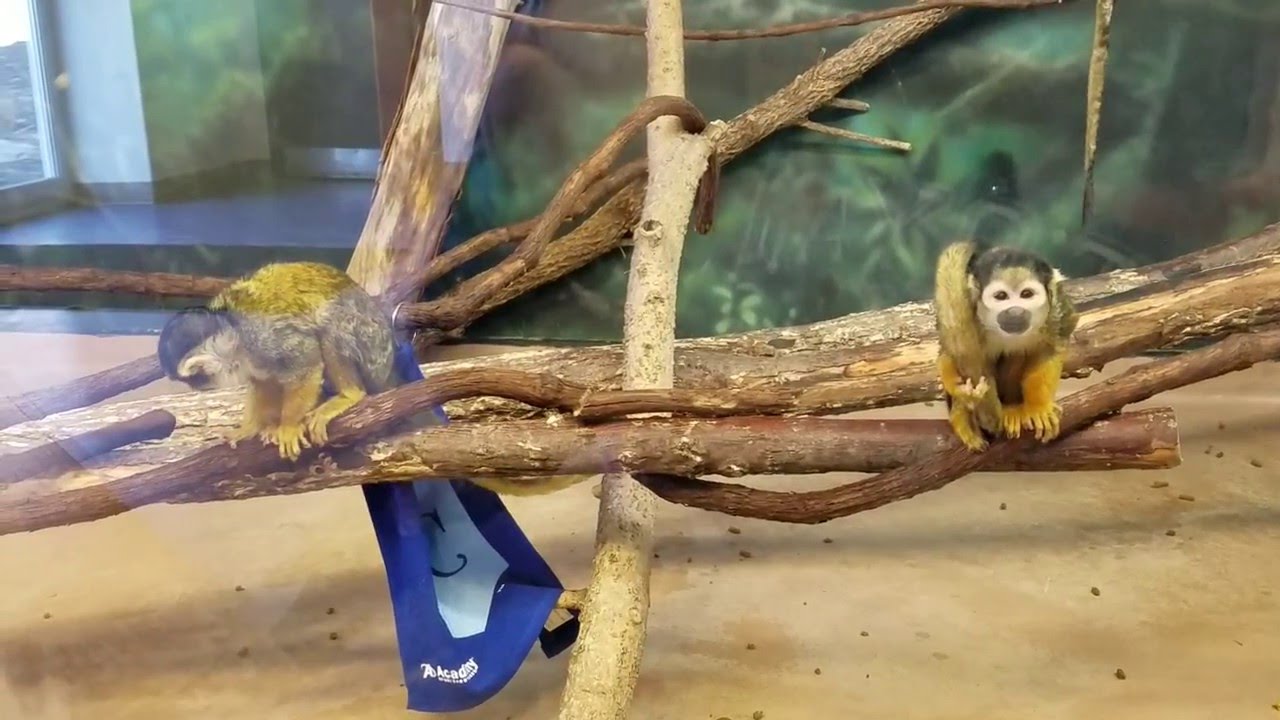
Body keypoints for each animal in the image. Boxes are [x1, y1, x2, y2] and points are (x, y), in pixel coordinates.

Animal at [933, 240, 1078, 452]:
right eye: (1001, 296)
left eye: (1026, 294)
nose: (1014, 311)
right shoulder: (966, 306)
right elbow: (947, 351)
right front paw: (960, 391)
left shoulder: (1057, 309)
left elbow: (1052, 347)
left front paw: (1038, 406)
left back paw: (1012, 407)